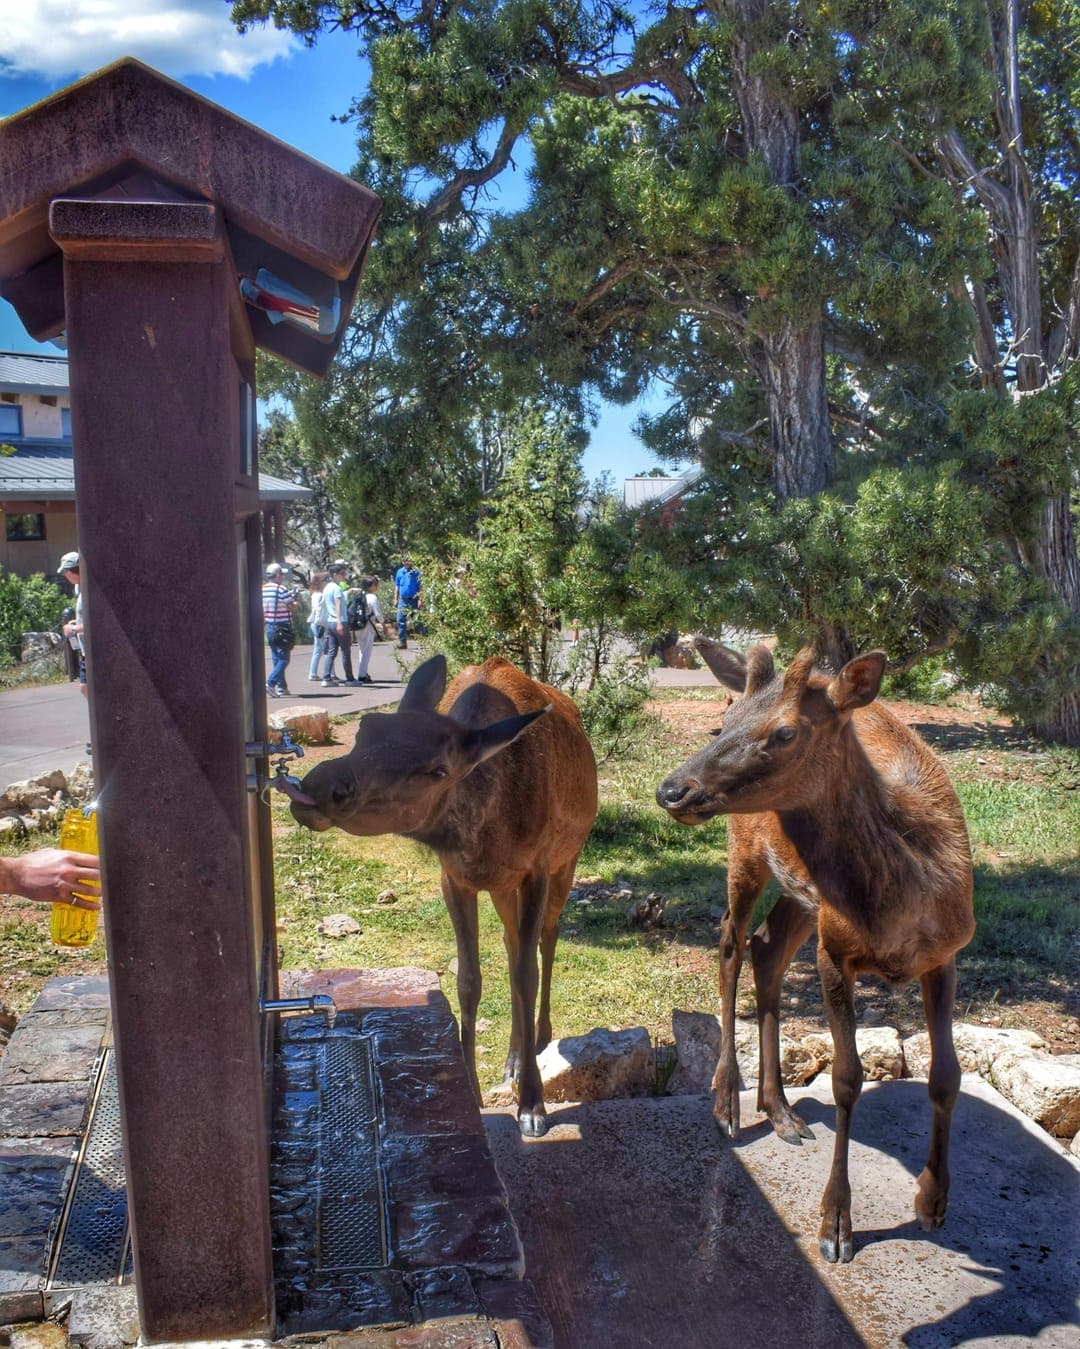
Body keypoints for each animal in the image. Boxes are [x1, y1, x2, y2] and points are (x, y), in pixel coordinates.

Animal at [285, 652, 598, 1138]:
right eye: (366, 729)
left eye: (438, 769)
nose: (323, 785)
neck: (485, 835)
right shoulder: (454, 877)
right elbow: (469, 979)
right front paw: (471, 1088)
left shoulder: (537, 867)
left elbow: (525, 975)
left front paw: (532, 1104)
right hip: (505, 888)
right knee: (511, 945)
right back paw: (512, 1058)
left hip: (569, 858)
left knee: (546, 940)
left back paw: (540, 1038)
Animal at [652, 642, 970, 1262]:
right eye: (724, 721)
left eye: (785, 732)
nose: (672, 789)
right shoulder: (835, 949)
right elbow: (847, 1078)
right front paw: (836, 1225)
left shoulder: (946, 954)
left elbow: (948, 1073)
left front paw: (933, 1201)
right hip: (747, 851)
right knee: (730, 941)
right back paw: (728, 1104)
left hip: (804, 898)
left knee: (766, 948)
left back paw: (780, 1111)